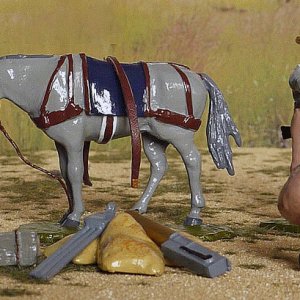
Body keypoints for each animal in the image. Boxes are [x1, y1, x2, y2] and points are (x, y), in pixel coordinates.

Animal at [0, 54, 240, 227]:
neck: (48, 81)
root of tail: (195, 76)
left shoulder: (74, 141)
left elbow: (75, 173)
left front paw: (74, 217)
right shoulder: (61, 144)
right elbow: (65, 172)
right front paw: (67, 213)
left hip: (177, 134)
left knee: (192, 161)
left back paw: (194, 214)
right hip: (152, 137)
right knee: (159, 166)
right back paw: (139, 207)